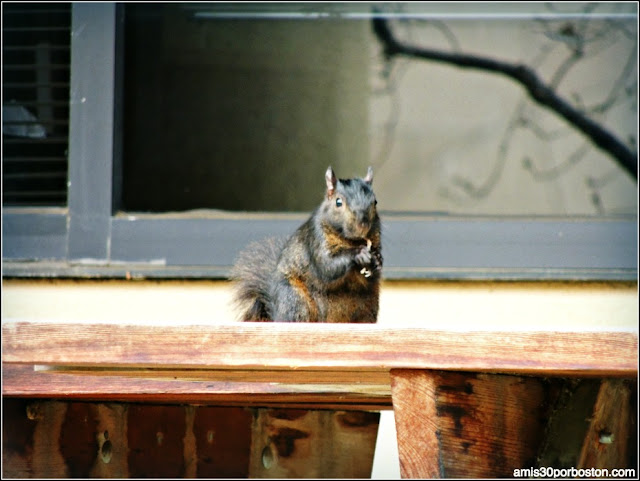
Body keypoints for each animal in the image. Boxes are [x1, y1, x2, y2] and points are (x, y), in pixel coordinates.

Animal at [232, 166, 382, 322]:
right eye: (338, 202)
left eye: (375, 202)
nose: (362, 225)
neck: (352, 241)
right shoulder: (316, 240)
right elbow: (327, 266)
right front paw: (360, 253)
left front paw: (377, 259)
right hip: (295, 299)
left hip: (368, 307)